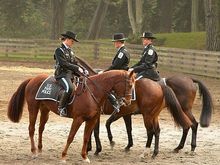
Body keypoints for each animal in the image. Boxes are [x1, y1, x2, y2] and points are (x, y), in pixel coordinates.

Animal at [7, 69, 136, 162]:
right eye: (130, 85)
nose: (128, 102)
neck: (92, 92)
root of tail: (32, 79)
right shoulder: (78, 119)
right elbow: (70, 137)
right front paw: (63, 156)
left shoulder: (92, 120)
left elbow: (85, 137)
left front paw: (84, 157)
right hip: (33, 108)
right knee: (31, 129)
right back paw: (34, 152)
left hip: (45, 110)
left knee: (40, 129)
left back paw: (40, 150)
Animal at [75, 56, 213, 158]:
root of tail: (189, 79)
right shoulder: (124, 113)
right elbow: (127, 128)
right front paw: (127, 146)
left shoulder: (113, 113)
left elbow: (98, 129)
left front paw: (97, 148)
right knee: (184, 126)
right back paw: (177, 148)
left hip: (180, 110)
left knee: (191, 124)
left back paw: (185, 148)